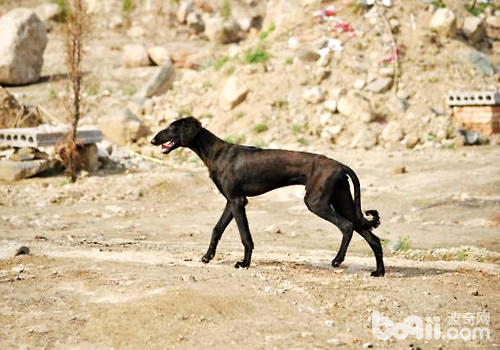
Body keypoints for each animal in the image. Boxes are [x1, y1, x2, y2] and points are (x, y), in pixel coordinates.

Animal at [150, 117, 384, 276]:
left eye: (173, 127)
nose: (153, 140)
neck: (215, 152)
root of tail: (341, 165)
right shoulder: (231, 201)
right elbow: (217, 229)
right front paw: (208, 257)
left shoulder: (238, 201)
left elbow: (245, 237)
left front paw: (244, 263)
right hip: (343, 202)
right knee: (372, 237)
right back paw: (379, 271)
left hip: (316, 203)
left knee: (347, 226)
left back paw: (337, 260)